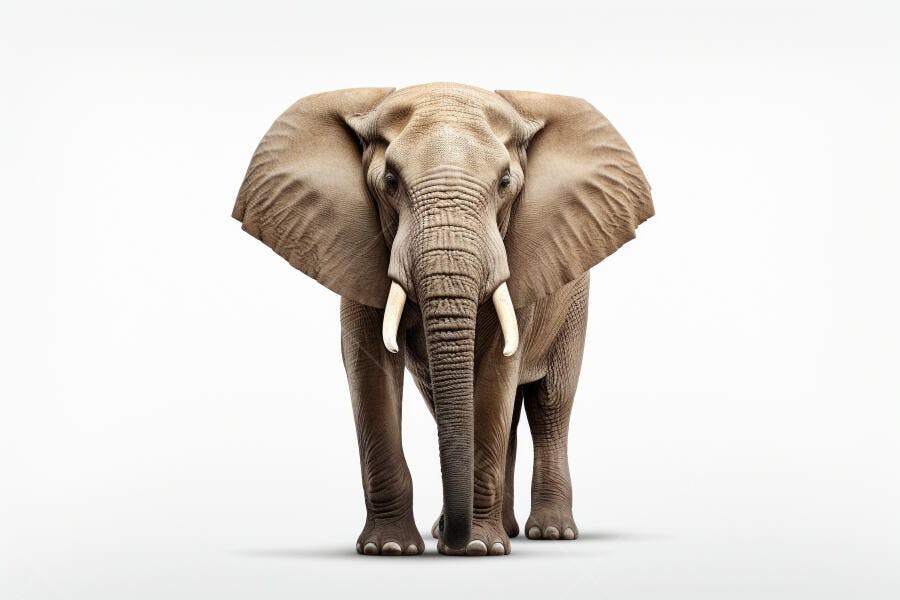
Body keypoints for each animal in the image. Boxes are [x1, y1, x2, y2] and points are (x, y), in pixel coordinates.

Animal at [232, 83, 653, 556]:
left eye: (505, 183)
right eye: (390, 181)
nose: (453, 540)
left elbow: (498, 372)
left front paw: (478, 549)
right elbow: (370, 373)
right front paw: (390, 550)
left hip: (575, 303)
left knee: (550, 405)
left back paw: (549, 533)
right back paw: (495, 530)